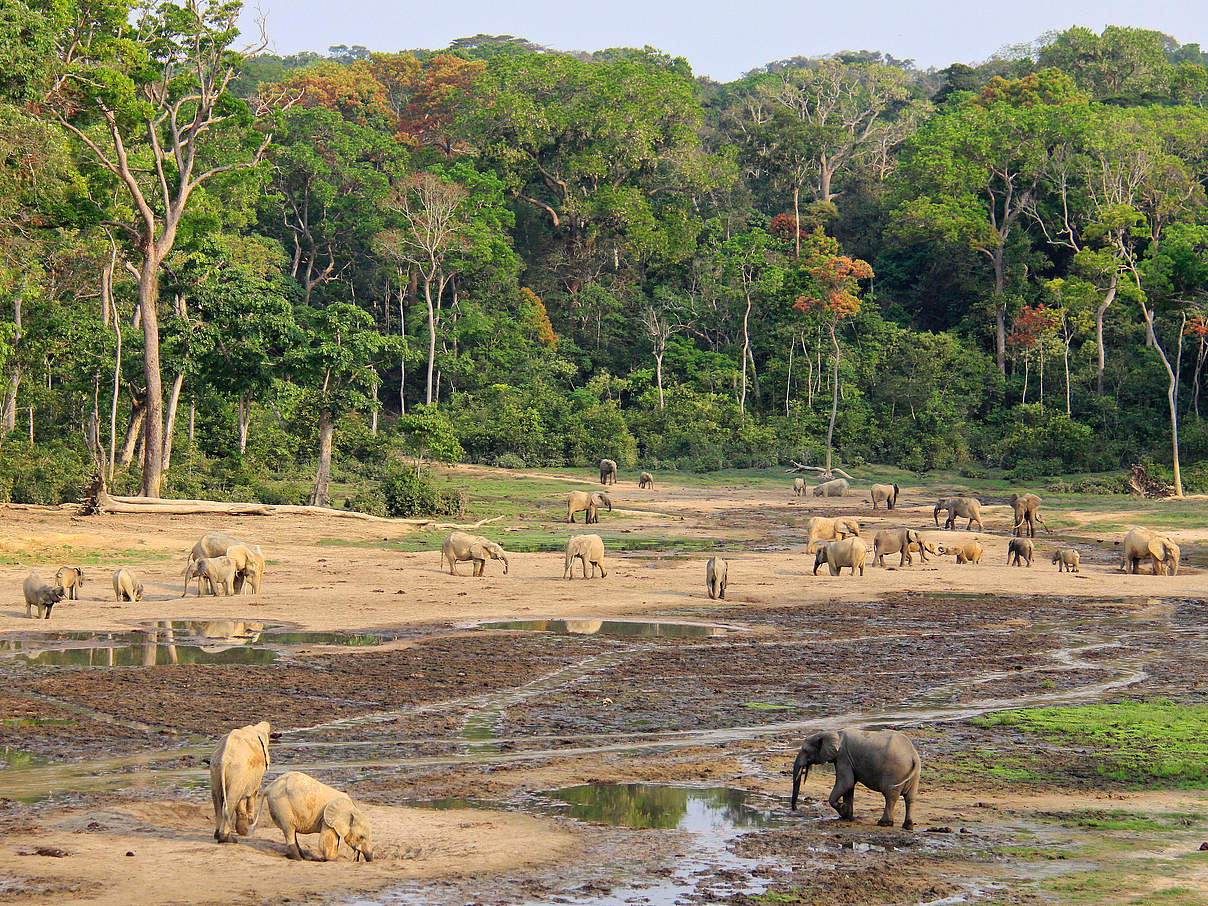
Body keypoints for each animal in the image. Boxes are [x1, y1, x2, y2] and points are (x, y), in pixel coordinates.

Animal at [787, 729, 918, 835]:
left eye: (805, 750)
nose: (795, 809)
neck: (833, 733)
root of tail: (913, 755)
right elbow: (849, 786)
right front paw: (847, 816)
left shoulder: (843, 757)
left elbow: (846, 782)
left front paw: (843, 809)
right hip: (914, 774)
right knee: (910, 798)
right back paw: (908, 826)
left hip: (894, 772)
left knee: (890, 796)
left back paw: (884, 823)